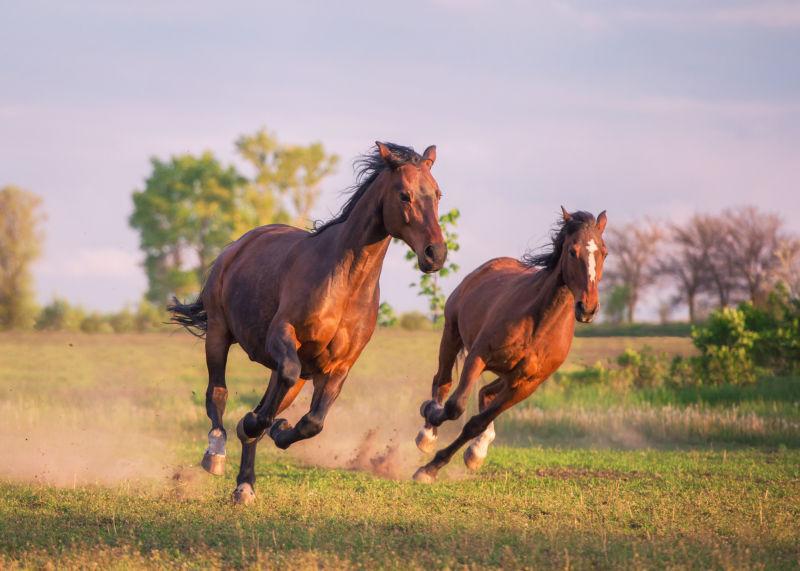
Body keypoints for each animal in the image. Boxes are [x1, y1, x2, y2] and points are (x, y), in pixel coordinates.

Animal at [170, 143, 446, 504]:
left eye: (437, 194)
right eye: (404, 195)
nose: (435, 254)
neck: (345, 283)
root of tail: (237, 246)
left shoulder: (338, 366)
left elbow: (313, 422)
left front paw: (278, 428)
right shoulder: (282, 335)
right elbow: (269, 396)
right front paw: (256, 424)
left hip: (298, 376)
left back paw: (245, 484)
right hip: (218, 333)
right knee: (217, 392)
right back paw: (216, 452)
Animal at [412, 207, 608, 482]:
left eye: (604, 252)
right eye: (573, 250)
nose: (587, 308)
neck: (538, 324)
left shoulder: (526, 384)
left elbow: (476, 423)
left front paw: (434, 467)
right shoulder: (478, 356)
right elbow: (455, 406)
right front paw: (430, 432)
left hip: (507, 375)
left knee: (485, 393)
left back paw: (477, 451)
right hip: (452, 333)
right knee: (442, 381)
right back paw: (427, 434)